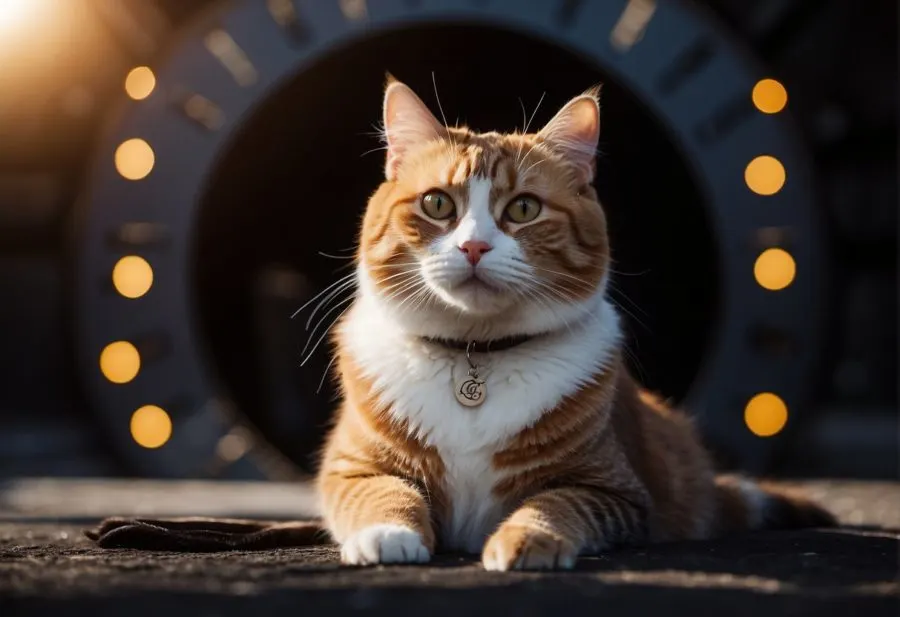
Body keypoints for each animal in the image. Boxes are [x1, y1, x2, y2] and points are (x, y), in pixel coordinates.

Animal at [312, 78, 832, 572]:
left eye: (523, 208)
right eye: (438, 204)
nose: (474, 247)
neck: (476, 354)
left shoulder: (612, 490)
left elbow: (555, 504)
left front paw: (529, 538)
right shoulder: (350, 469)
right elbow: (383, 493)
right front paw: (389, 534)